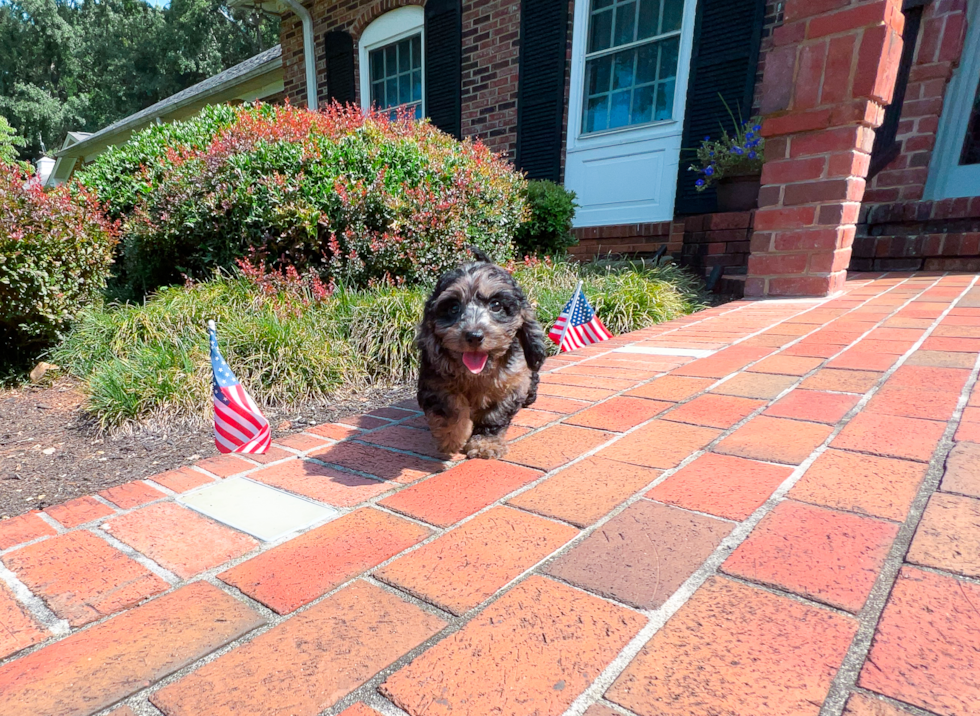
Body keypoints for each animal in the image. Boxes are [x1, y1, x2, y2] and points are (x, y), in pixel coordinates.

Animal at [416, 249, 548, 456]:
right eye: (453, 307)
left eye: (496, 305)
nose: (474, 336)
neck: (476, 372)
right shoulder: (435, 380)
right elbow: (450, 407)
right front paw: (451, 438)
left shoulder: (512, 382)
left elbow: (494, 415)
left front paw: (485, 443)